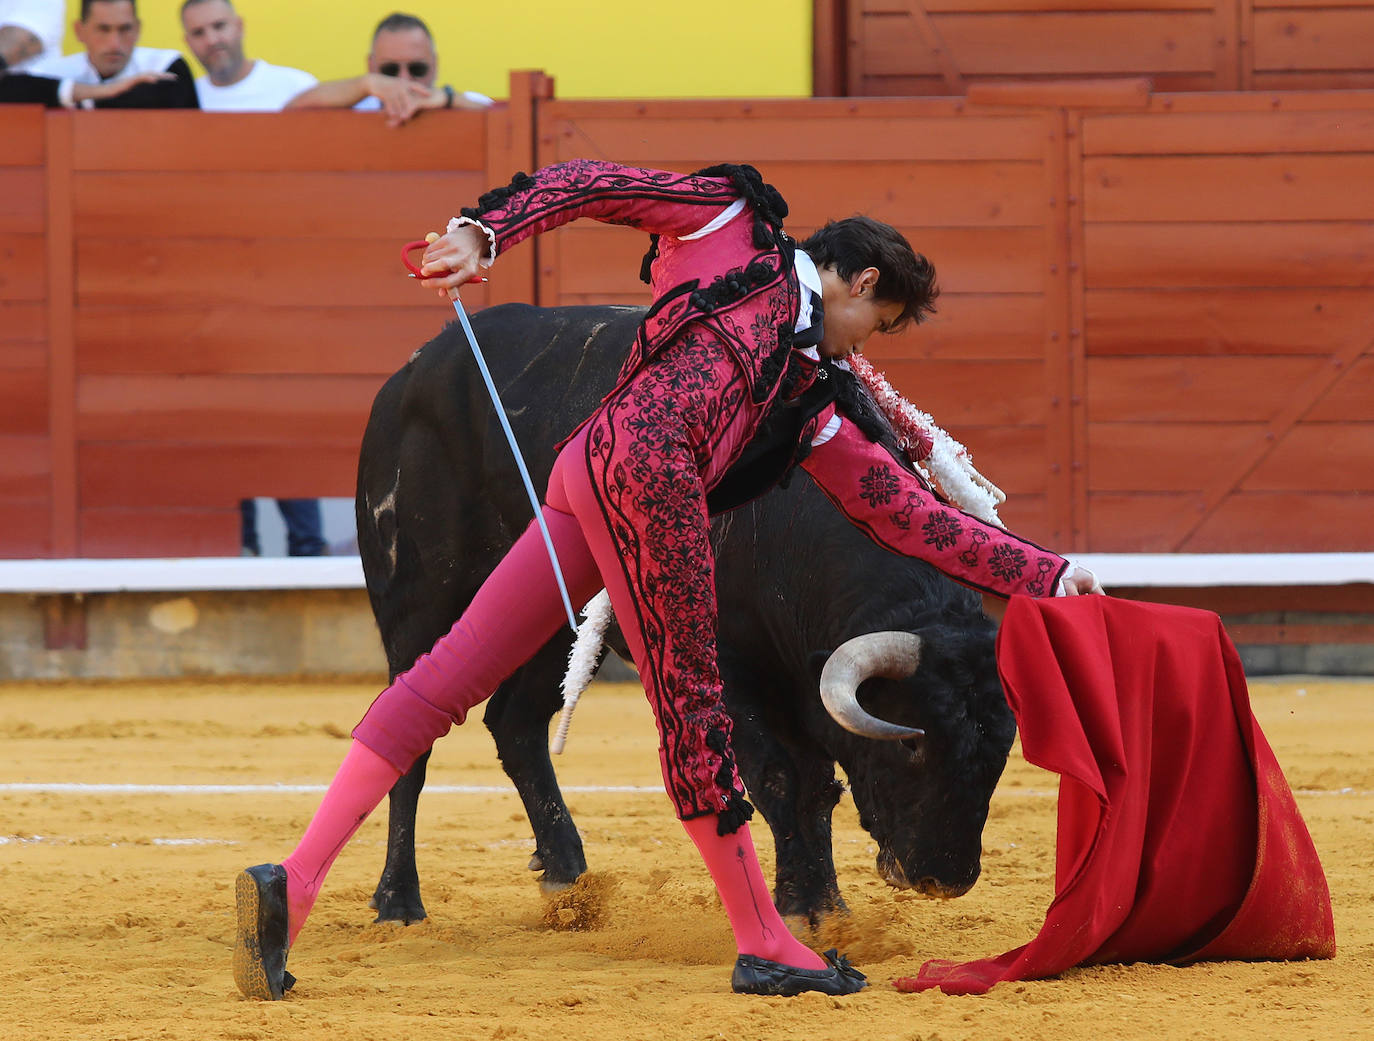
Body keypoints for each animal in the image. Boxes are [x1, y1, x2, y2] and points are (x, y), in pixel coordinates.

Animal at [354, 302, 1022, 928]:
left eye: (1000, 749)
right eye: (910, 744)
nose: (945, 877)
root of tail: (415, 368)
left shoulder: (803, 682)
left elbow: (817, 785)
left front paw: (826, 905)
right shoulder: (730, 670)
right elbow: (781, 778)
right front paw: (797, 904)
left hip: (550, 621)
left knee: (514, 723)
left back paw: (568, 877)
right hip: (422, 603)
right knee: (410, 730)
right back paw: (398, 899)